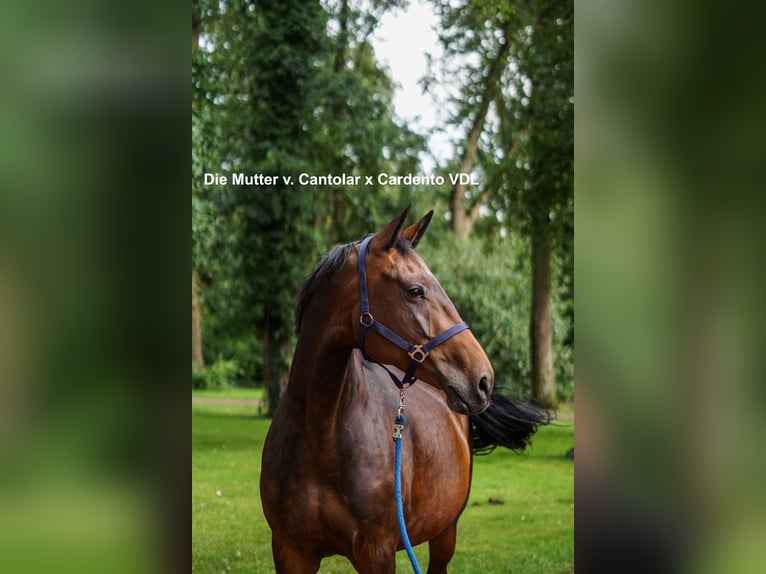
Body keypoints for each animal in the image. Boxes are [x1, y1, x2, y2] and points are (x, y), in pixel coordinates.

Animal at [260, 206, 548, 573]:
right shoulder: (290, 552)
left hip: (445, 532)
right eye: (415, 290)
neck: (319, 436)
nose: (483, 380)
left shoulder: (377, 552)